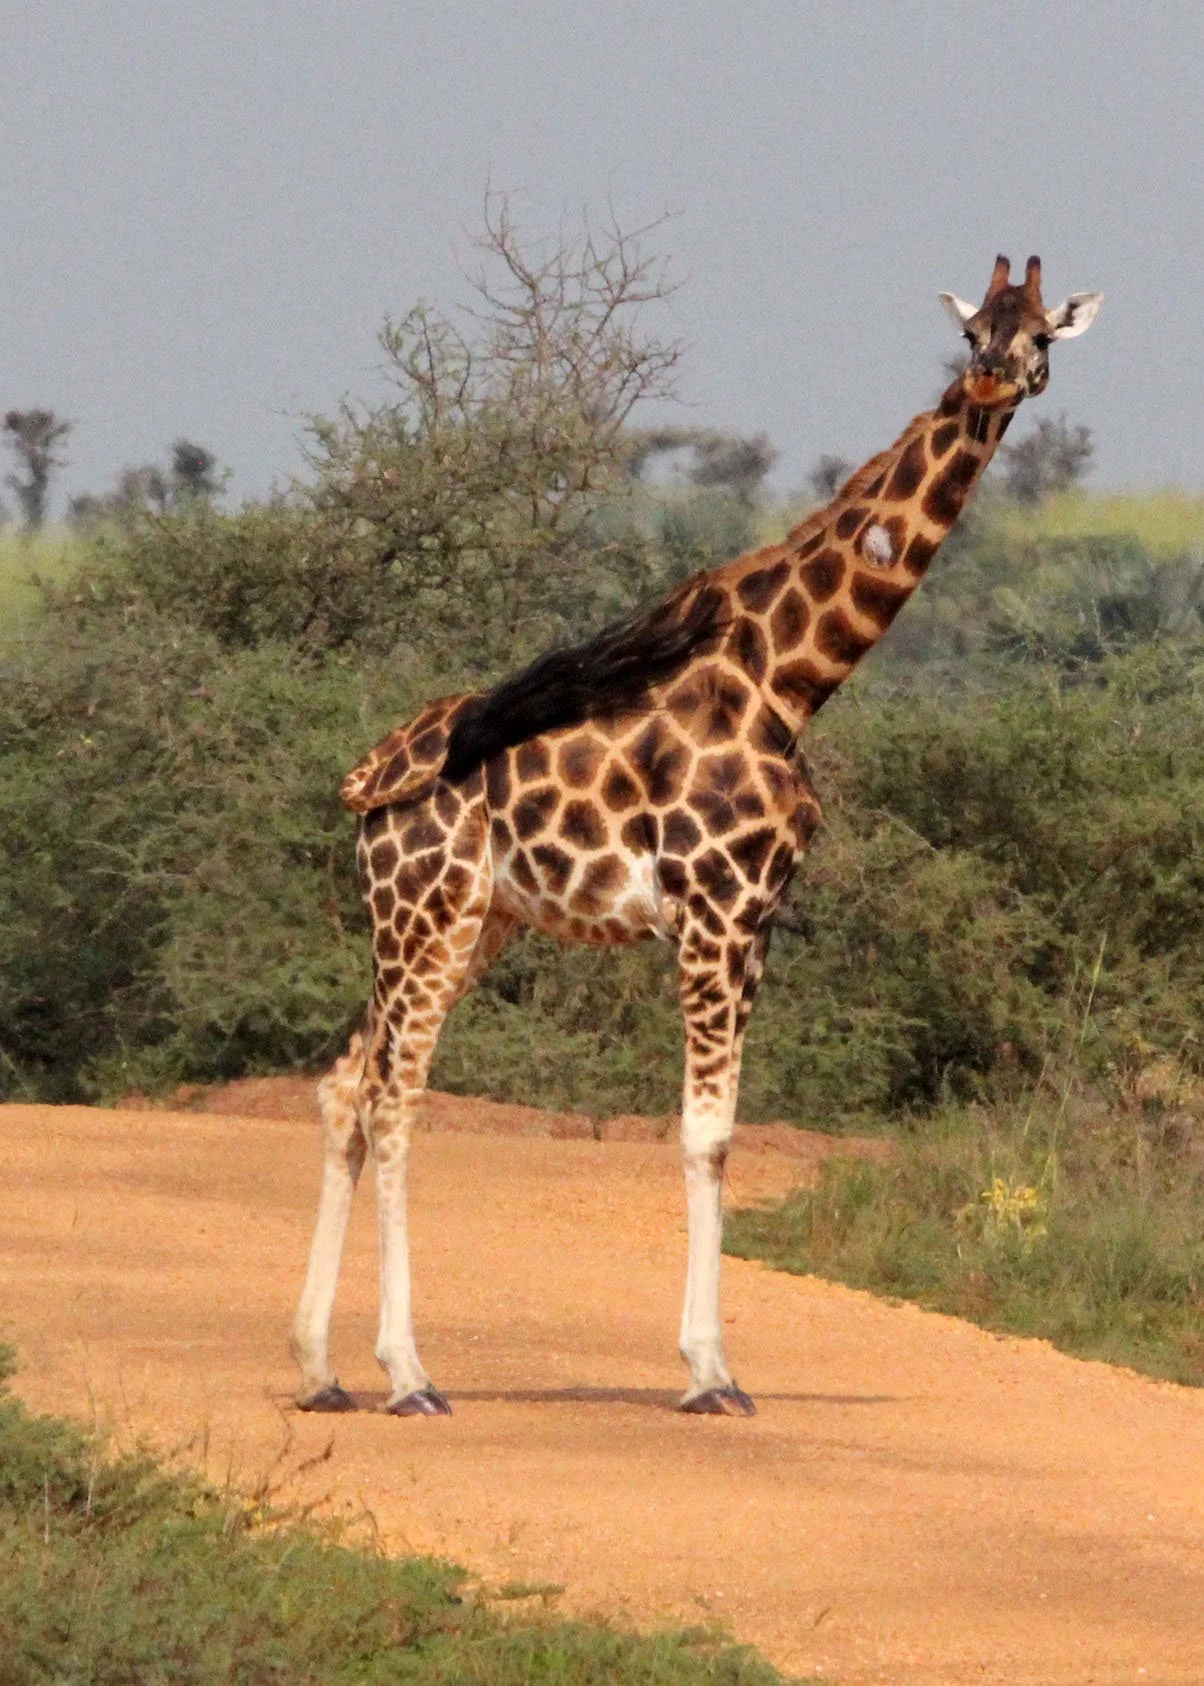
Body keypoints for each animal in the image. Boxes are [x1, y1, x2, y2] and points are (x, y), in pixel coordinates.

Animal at [292, 254, 1102, 1417]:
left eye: (1039, 334)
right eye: (971, 333)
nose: (992, 377)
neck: (790, 679)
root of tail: (367, 785)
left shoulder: (757, 922)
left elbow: (721, 1131)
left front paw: (713, 1363)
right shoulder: (715, 914)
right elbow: (705, 1133)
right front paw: (711, 1374)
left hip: (471, 922)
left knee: (347, 1086)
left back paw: (319, 1371)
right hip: (427, 911)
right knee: (395, 1096)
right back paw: (406, 1374)